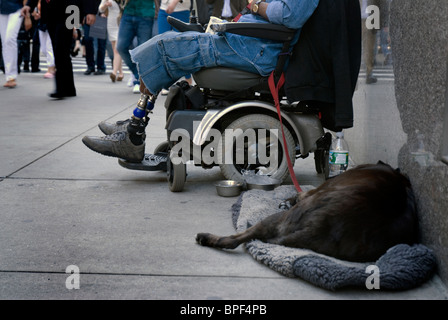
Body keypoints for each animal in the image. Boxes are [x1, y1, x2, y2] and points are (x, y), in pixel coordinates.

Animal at [198, 161, 418, 262]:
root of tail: (320, 228)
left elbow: (302, 193)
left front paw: (289, 199)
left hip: (277, 219)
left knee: (233, 240)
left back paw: (206, 238)